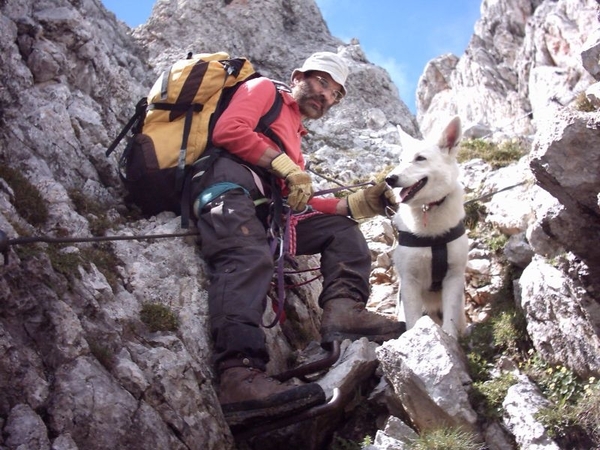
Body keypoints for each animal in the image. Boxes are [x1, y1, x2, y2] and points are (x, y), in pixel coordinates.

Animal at [386, 116, 472, 338]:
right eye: (400, 160)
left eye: (420, 158)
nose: (389, 179)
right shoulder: (409, 282)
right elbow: (413, 321)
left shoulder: (453, 277)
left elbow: (450, 319)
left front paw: (450, 339)